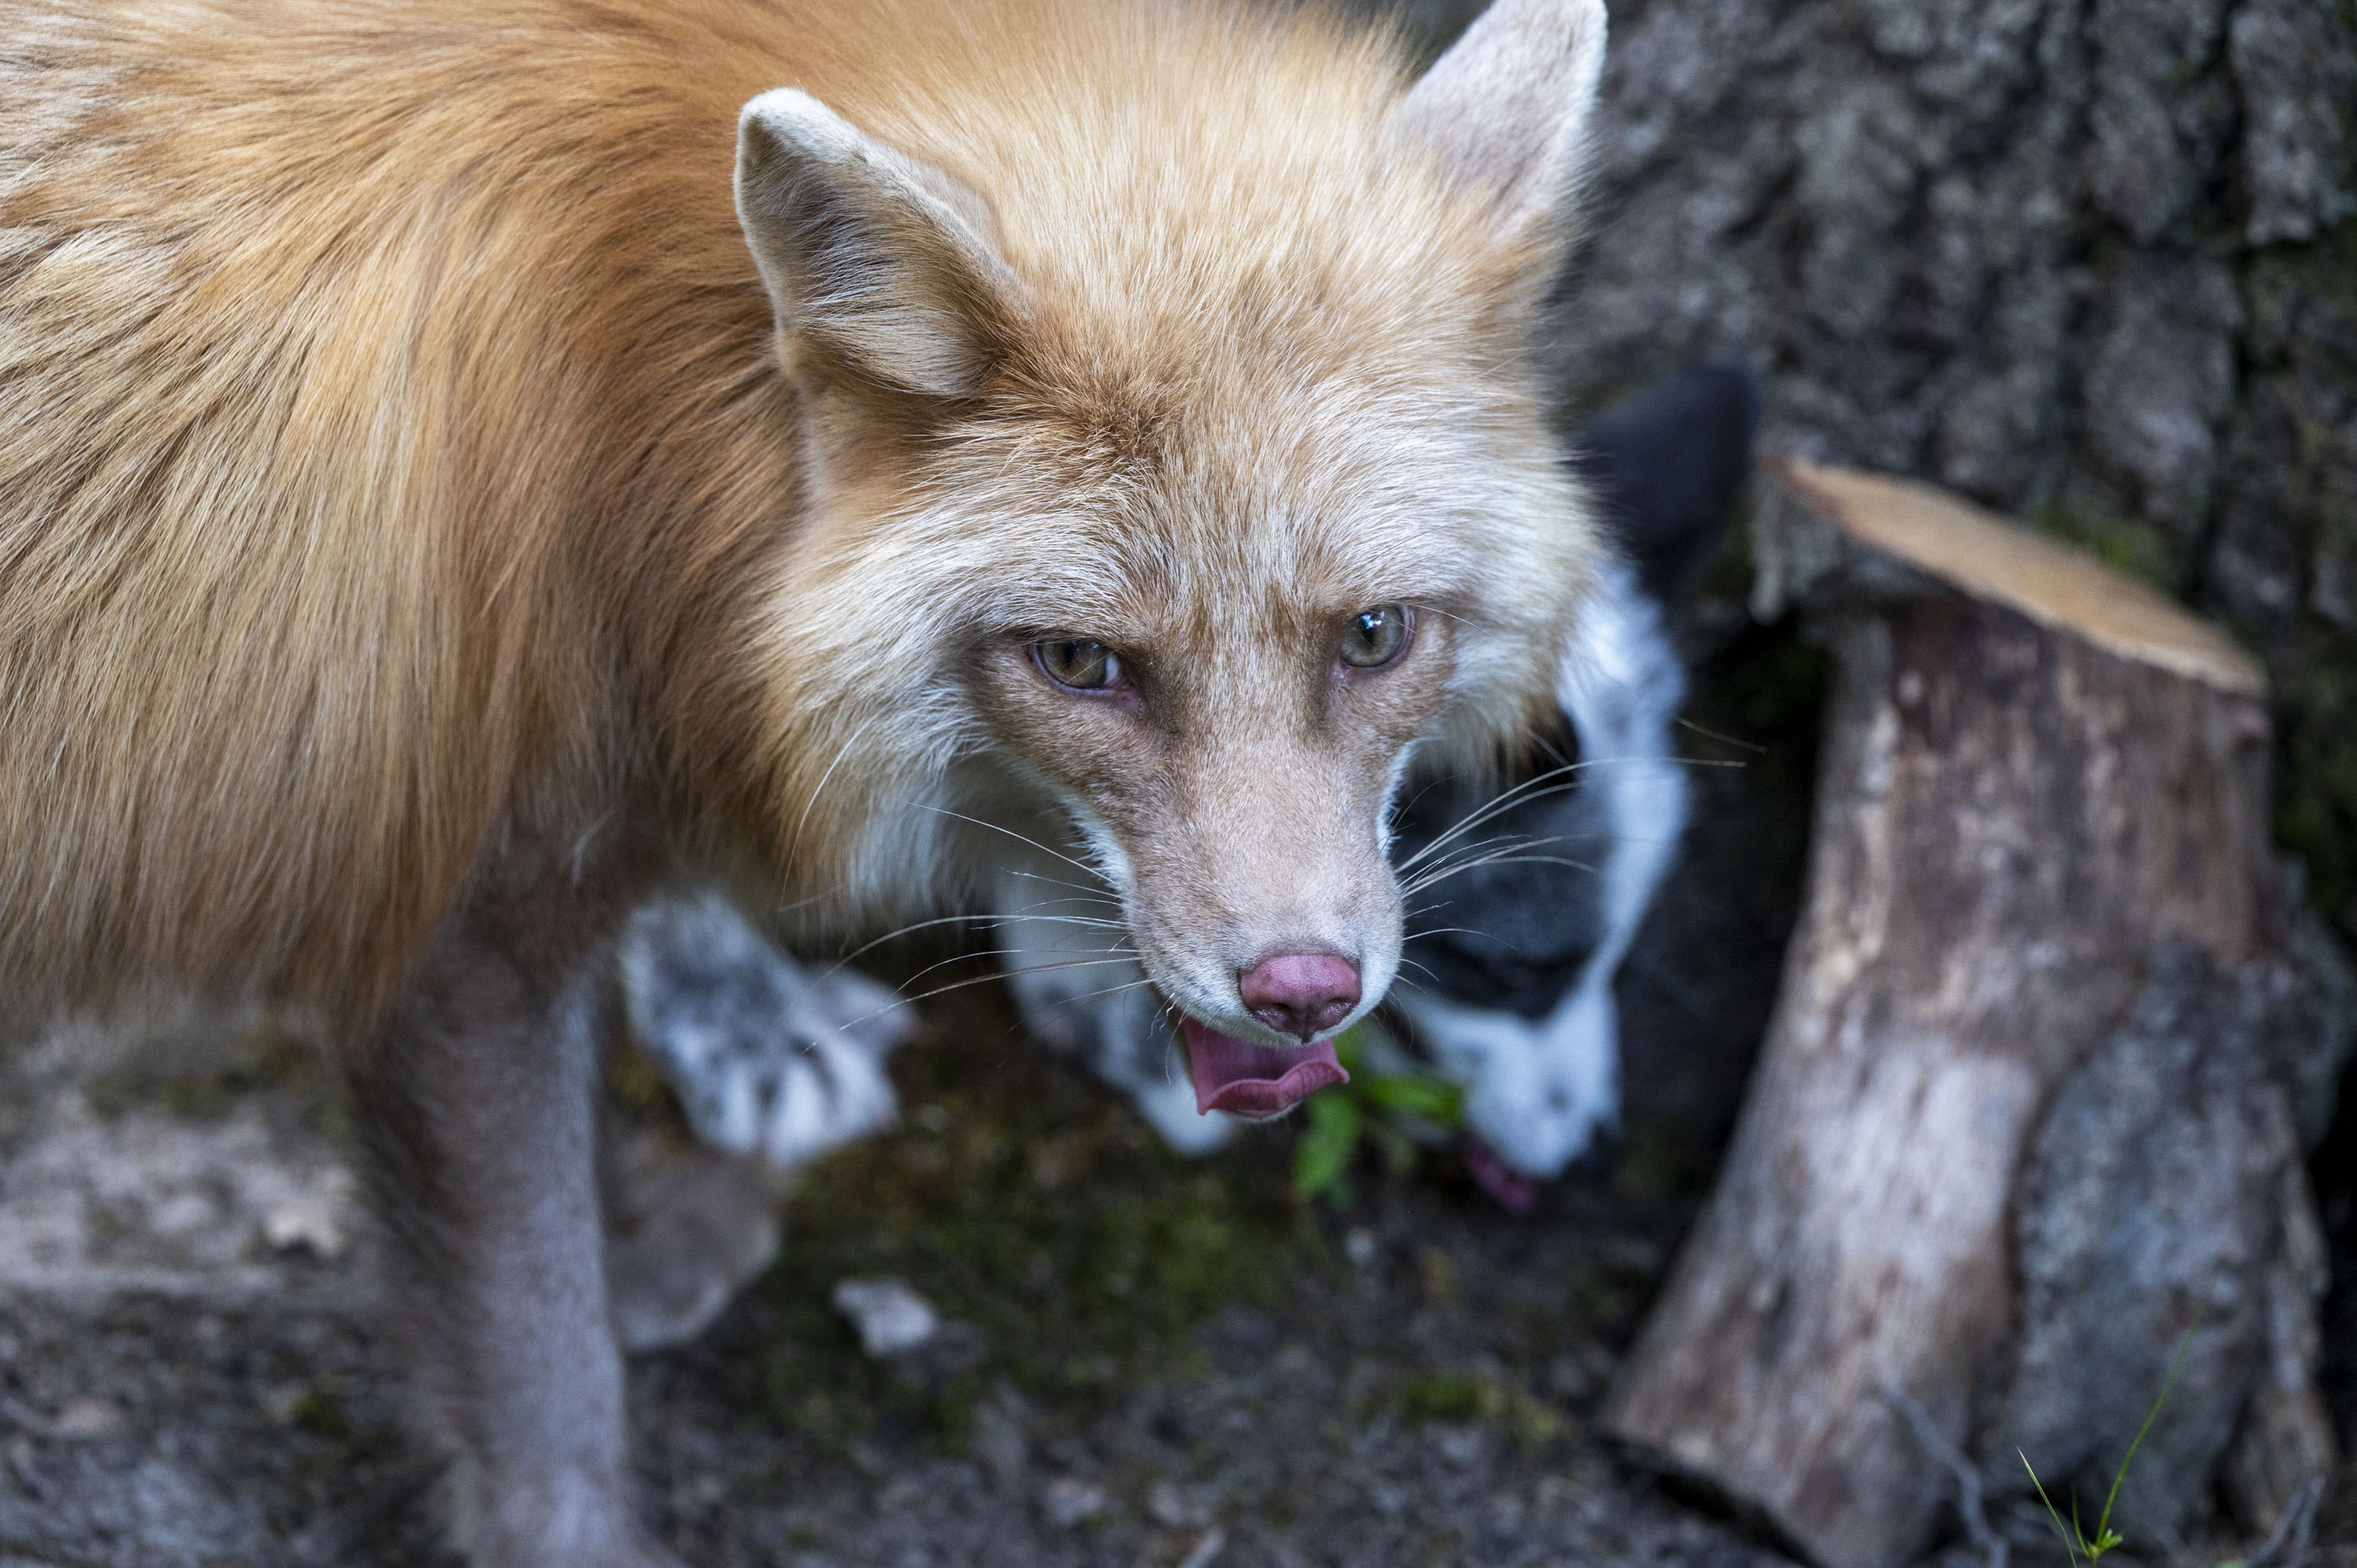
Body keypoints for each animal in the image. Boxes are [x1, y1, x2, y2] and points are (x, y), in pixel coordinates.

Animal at [0, 2, 1603, 1555]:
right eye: (1081, 663)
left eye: (1375, 635)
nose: (1303, 992)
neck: (635, 438)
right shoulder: (458, 926)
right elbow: (543, 1386)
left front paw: (656, 1207)